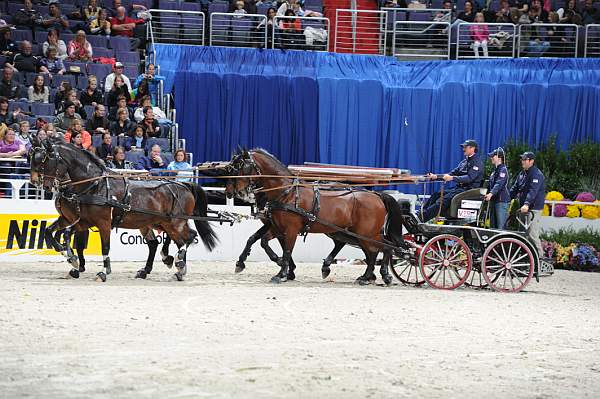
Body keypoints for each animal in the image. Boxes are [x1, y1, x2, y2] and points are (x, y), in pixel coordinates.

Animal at [29, 138, 218, 282]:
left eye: (46, 160)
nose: (39, 184)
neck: (93, 184)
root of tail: (183, 185)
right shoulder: (81, 221)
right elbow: (59, 233)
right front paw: (72, 260)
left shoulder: (103, 223)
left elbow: (104, 247)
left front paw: (102, 272)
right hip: (158, 223)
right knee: (167, 242)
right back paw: (167, 268)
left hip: (174, 222)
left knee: (188, 238)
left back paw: (178, 264)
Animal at [227, 149, 406, 284]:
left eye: (242, 167)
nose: (232, 192)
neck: (287, 193)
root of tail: (377, 195)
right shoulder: (277, 227)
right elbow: (261, 241)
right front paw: (279, 266)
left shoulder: (290, 229)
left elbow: (287, 250)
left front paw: (282, 273)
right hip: (353, 233)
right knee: (377, 249)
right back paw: (370, 275)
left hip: (366, 233)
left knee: (382, 248)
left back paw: (373, 275)